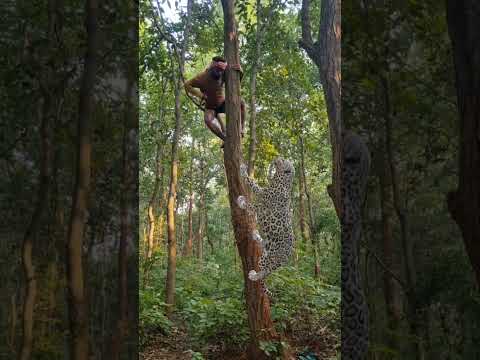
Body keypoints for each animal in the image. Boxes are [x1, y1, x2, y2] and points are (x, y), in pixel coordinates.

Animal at [236, 156, 296, 296]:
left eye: (283, 160)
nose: (278, 157)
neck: (281, 180)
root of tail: (287, 257)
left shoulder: (262, 198)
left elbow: (252, 185)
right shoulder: (261, 203)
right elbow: (252, 207)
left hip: (269, 259)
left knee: (265, 273)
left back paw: (254, 275)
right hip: (265, 253)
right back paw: (256, 235)